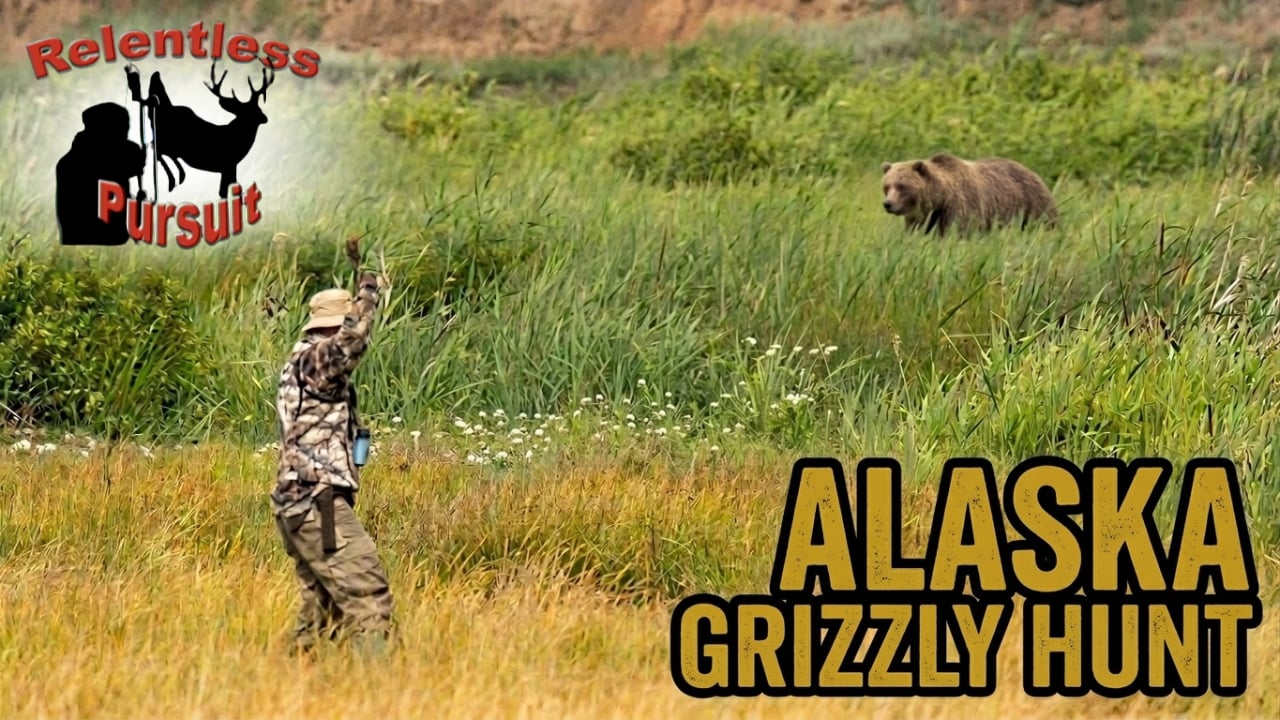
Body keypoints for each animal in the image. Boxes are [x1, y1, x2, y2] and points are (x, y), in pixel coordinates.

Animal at [880, 152, 1058, 237]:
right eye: (887, 186)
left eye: (902, 186)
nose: (888, 204)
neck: (941, 196)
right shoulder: (923, 215)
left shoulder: (961, 205)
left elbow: (959, 229)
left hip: (1032, 205)